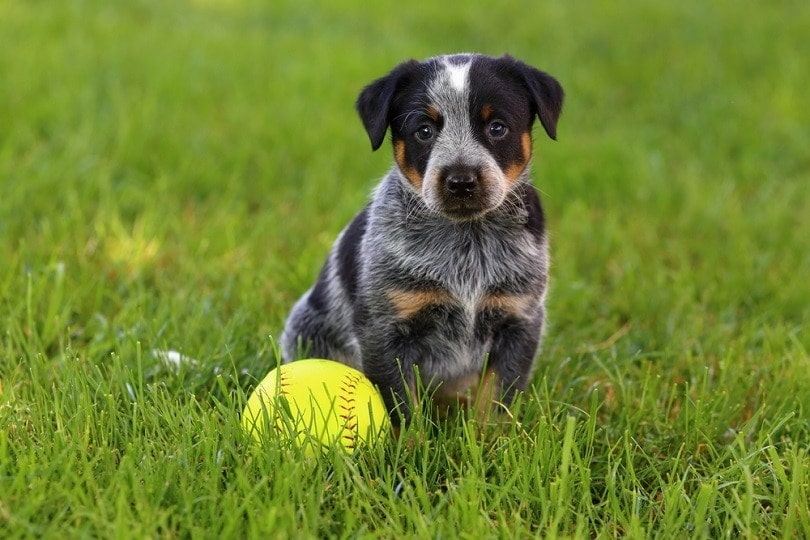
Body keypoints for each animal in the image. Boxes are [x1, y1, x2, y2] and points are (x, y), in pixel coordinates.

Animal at [282, 54, 560, 426]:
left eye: (497, 127)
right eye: (424, 131)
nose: (461, 181)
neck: (466, 241)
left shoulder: (519, 320)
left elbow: (497, 401)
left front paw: (491, 438)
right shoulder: (385, 328)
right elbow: (402, 407)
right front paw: (410, 441)